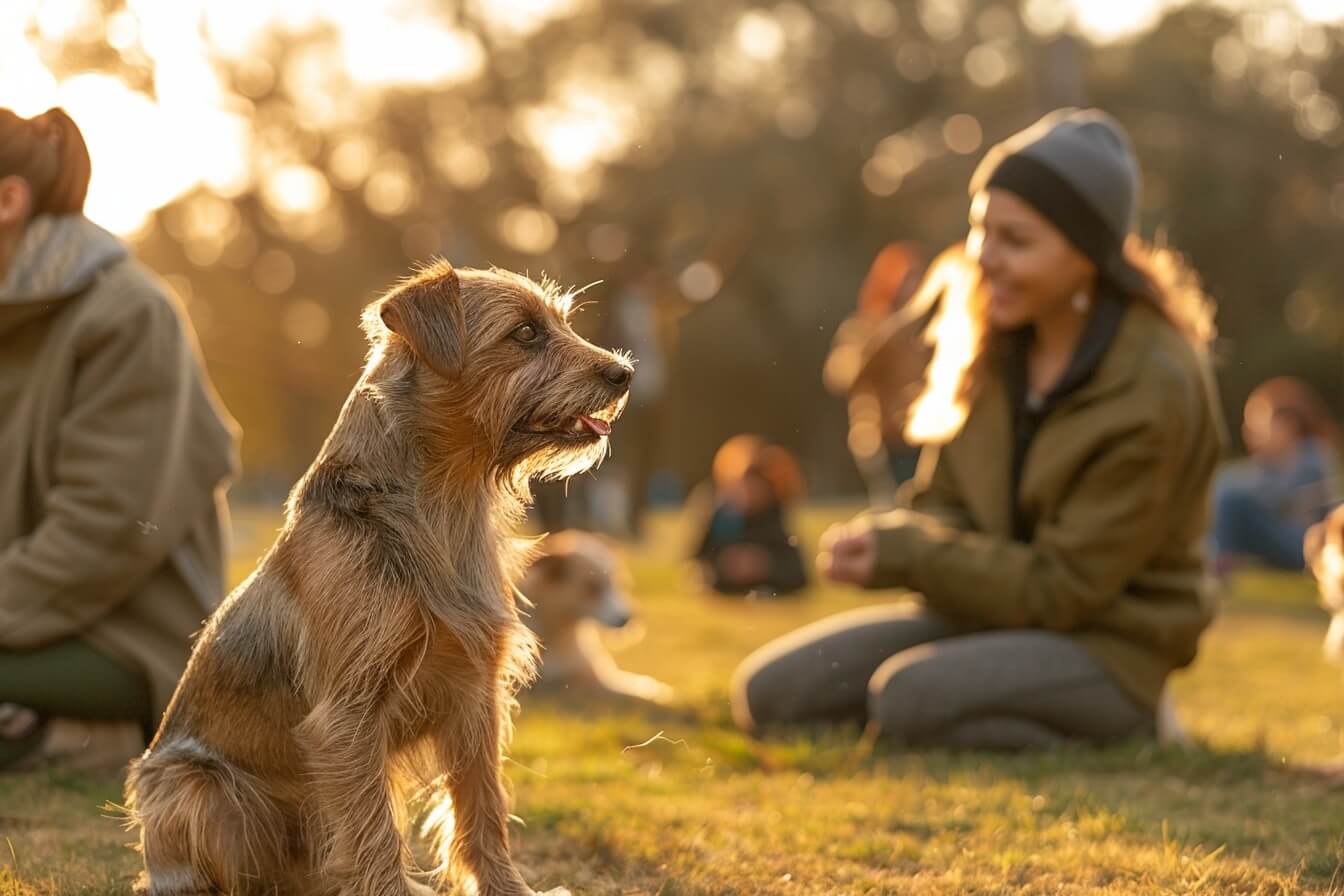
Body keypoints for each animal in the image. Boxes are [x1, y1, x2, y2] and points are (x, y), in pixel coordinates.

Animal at [126, 263, 628, 896]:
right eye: (525, 333)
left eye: (561, 323)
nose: (625, 373)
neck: (443, 504)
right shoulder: (349, 715)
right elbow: (373, 828)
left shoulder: (475, 697)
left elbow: (483, 808)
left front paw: (509, 889)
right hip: (199, 790)